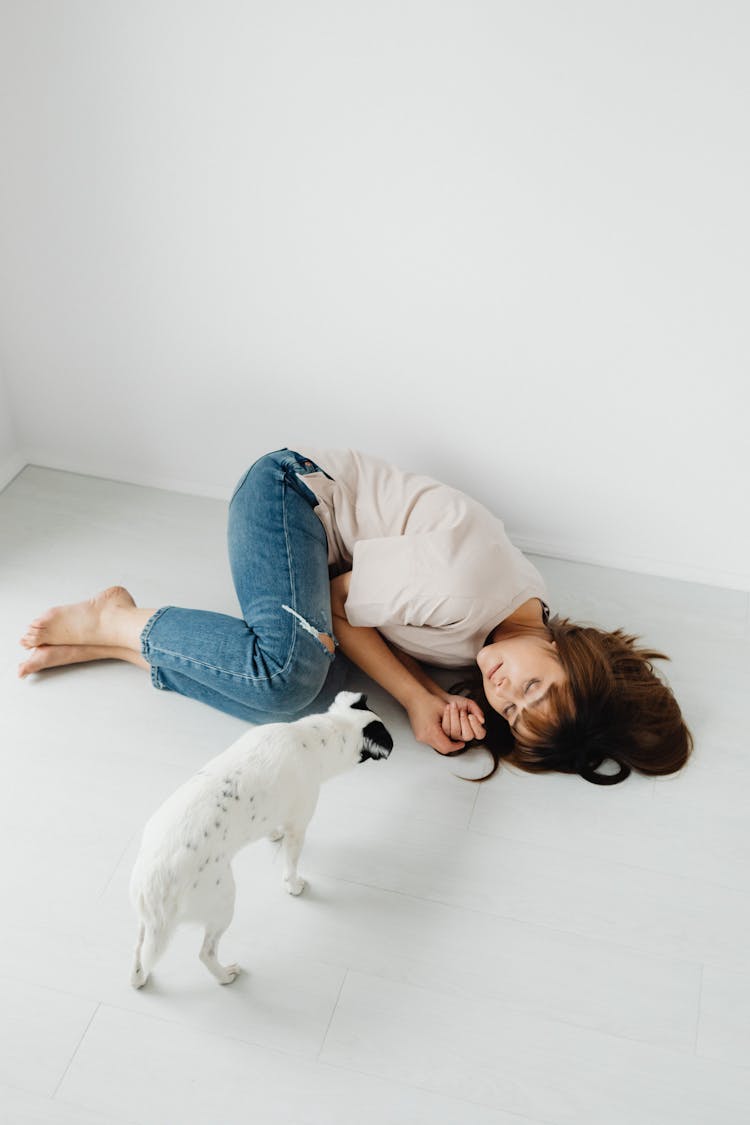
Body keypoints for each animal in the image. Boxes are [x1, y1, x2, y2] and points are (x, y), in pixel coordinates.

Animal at [129, 688, 395, 990]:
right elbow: (291, 864)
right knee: (205, 953)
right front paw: (294, 885)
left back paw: (139, 977)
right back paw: (225, 975)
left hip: (147, 921)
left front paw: (273, 833)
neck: (312, 738)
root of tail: (156, 880)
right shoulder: (299, 826)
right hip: (223, 901)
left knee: (139, 949)